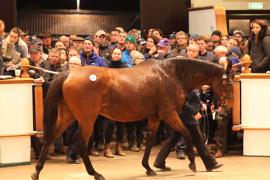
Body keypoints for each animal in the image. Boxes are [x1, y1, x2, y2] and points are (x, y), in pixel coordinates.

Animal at [30, 58, 232, 180]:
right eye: (228, 82)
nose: (228, 106)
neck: (170, 75)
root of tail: (69, 74)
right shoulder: (169, 114)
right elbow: (187, 133)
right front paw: (192, 164)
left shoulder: (155, 117)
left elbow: (149, 141)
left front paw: (149, 168)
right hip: (87, 119)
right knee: (81, 145)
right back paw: (95, 173)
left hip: (68, 116)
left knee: (49, 138)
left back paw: (37, 172)